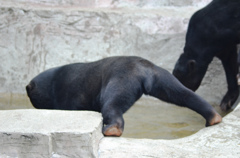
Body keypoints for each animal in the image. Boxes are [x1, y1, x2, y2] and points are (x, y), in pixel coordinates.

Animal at [26, 56, 221, 136]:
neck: (53, 81)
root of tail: (143, 70)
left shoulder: (67, 95)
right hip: (163, 78)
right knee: (184, 94)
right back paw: (214, 116)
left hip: (120, 80)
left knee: (112, 105)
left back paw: (112, 129)